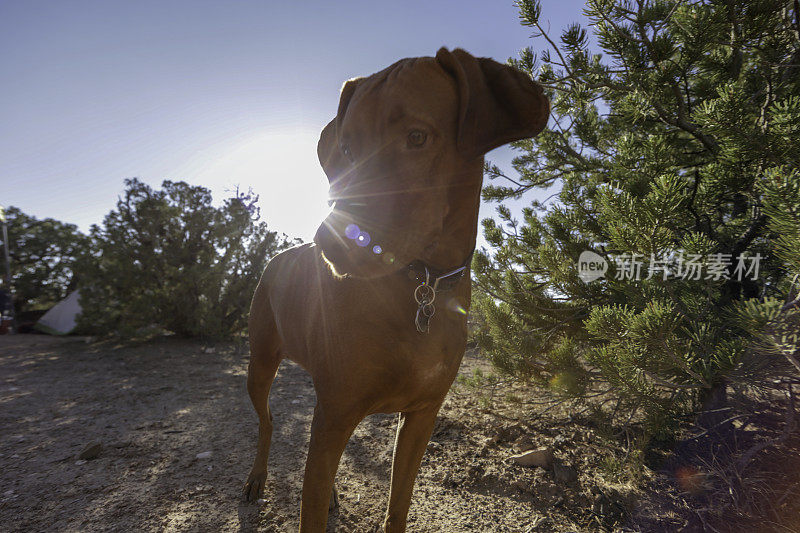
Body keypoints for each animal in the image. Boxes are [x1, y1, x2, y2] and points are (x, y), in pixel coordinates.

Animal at [241, 47, 548, 528]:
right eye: (347, 148)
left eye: (417, 137)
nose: (331, 241)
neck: (422, 284)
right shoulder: (337, 413)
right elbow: (310, 506)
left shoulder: (422, 415)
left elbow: (398, 505)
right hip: (261, 362)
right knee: (268, 421)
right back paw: (257, 477)